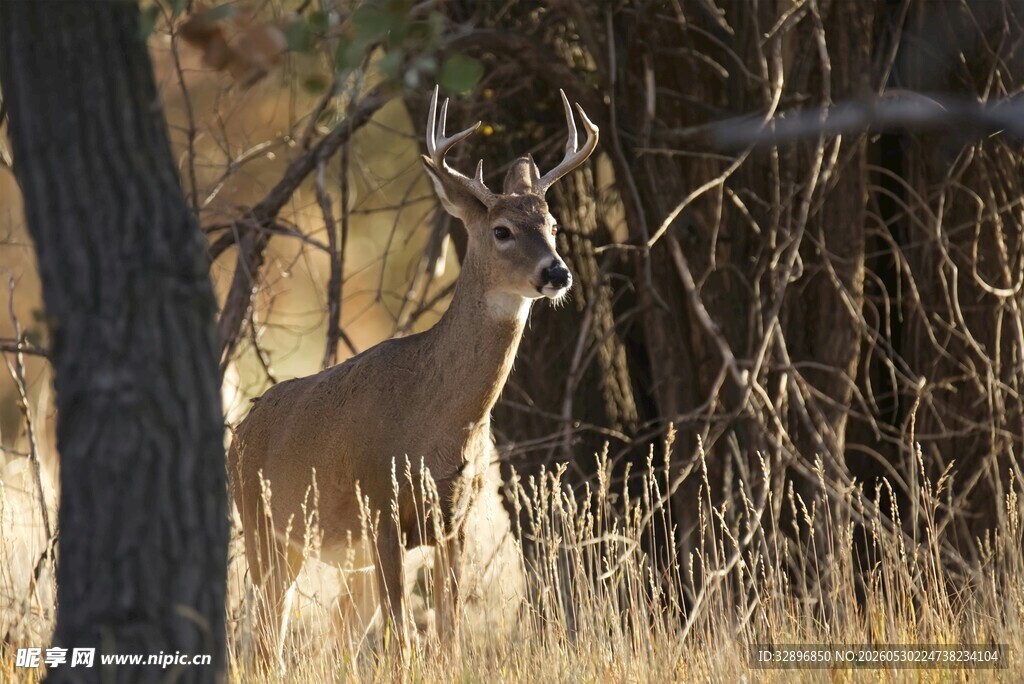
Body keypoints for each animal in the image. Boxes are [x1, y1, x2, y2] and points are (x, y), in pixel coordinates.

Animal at [228, 85, 598, 666]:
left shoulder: (455, 522)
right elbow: (402, 639)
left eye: (554, 226)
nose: (557, 272)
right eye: (502, 230)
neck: (439, 424)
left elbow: (447, 636)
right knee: (268, 636)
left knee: (329, 634)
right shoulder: (379, 504)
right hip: (266, 529)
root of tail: (238, 433)